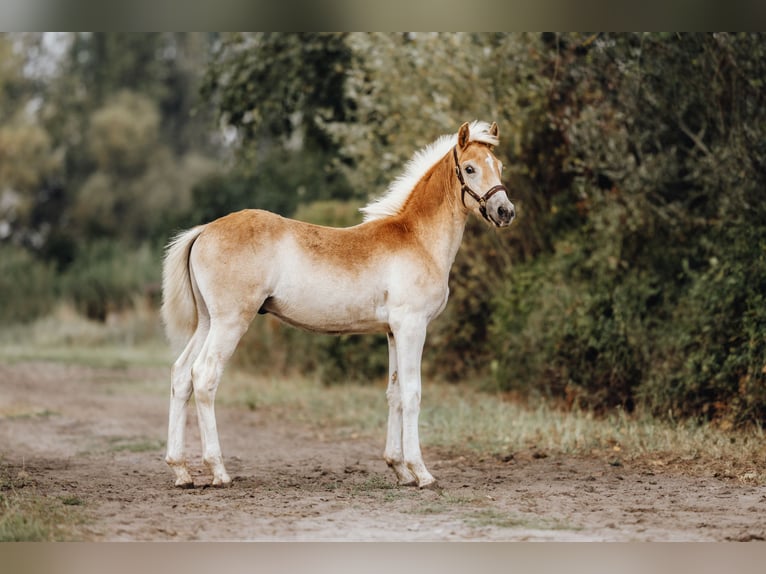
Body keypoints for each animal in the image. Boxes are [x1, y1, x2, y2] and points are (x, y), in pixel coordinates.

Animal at [165, 121, 520, 490]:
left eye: (500, 166)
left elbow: (394, 393)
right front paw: (421, 473)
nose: (505, 212)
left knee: (181, 375)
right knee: (204, 376)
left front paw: (399, 468)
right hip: (230, 322)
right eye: (470, 168)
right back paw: (218, 471)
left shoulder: (393, 331)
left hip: (208, 322)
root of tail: (204, 230)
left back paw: (181, 471)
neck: (417, 239)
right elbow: (412, 393)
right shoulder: (412, 327)